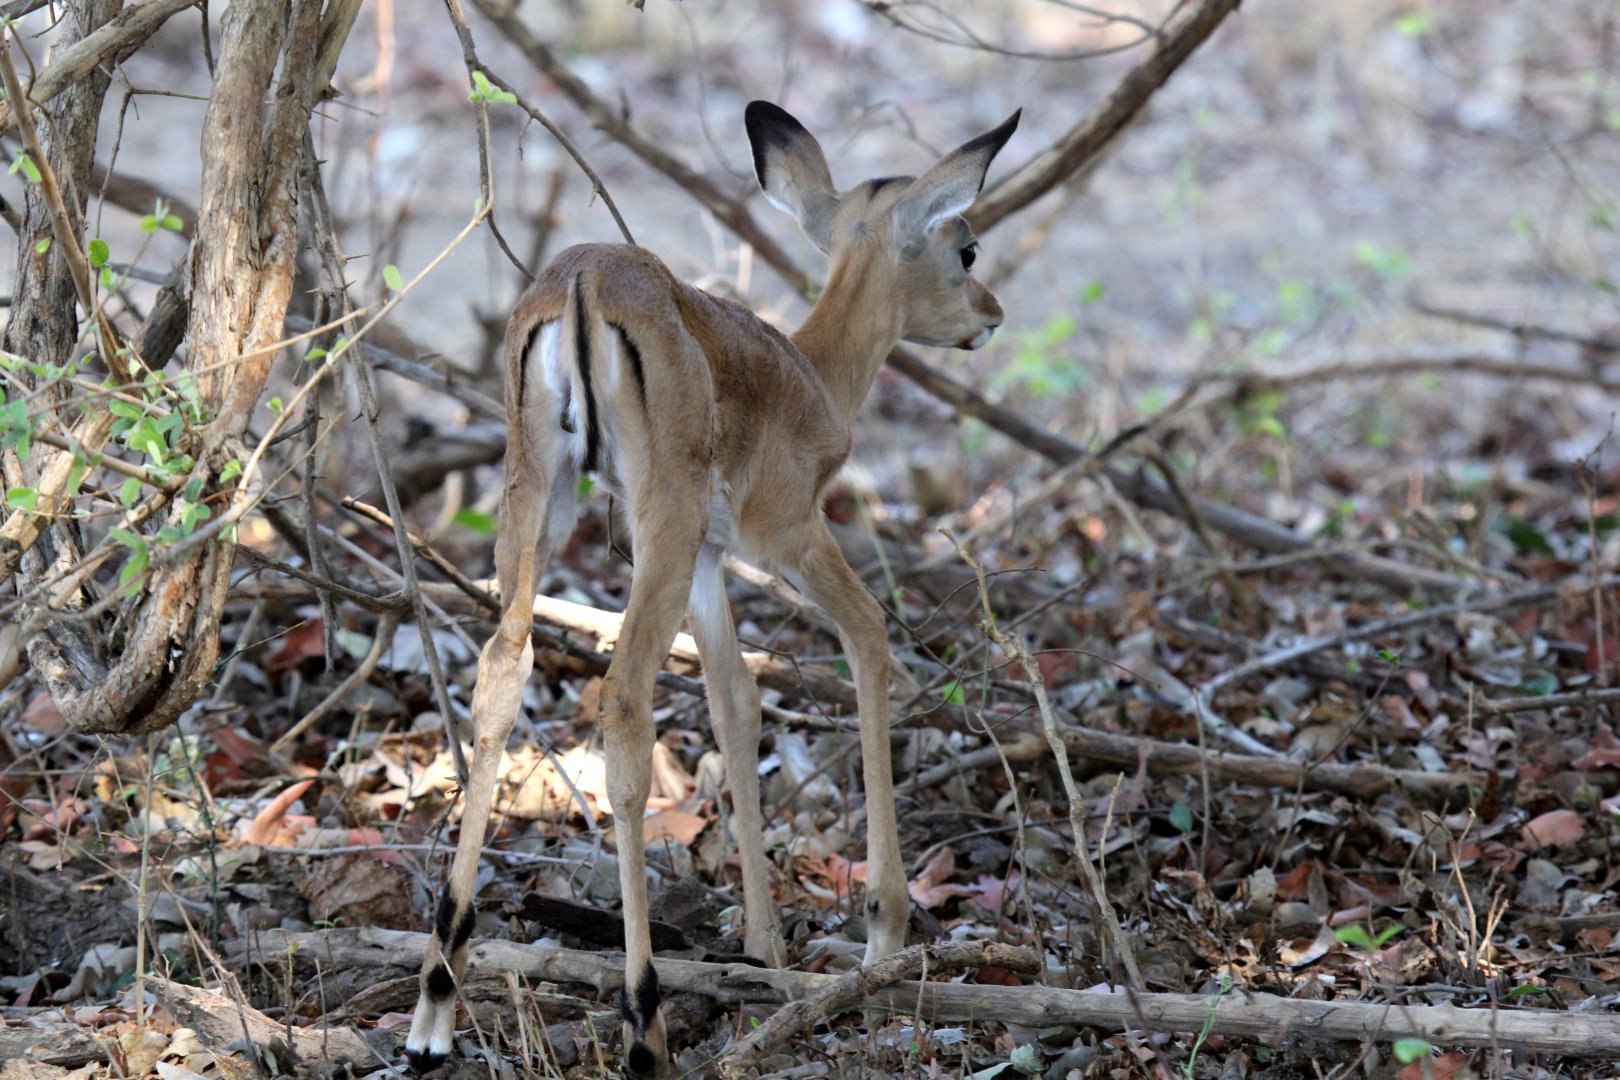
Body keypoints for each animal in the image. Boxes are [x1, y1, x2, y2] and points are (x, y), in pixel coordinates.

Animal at [406, 100, 1020, 1075]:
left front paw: (764, 945)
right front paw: (883, 930)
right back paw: (643, 1022)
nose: (990, 316)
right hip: (654, 525)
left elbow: (736, 699)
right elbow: (870, 638)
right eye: (965, 247)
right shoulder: (790, 539)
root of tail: (584, 279)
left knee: (503, 669)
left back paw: (436, 1000)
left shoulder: (706, 562)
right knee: (623, 699)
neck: (812, 377)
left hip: (540, 500)